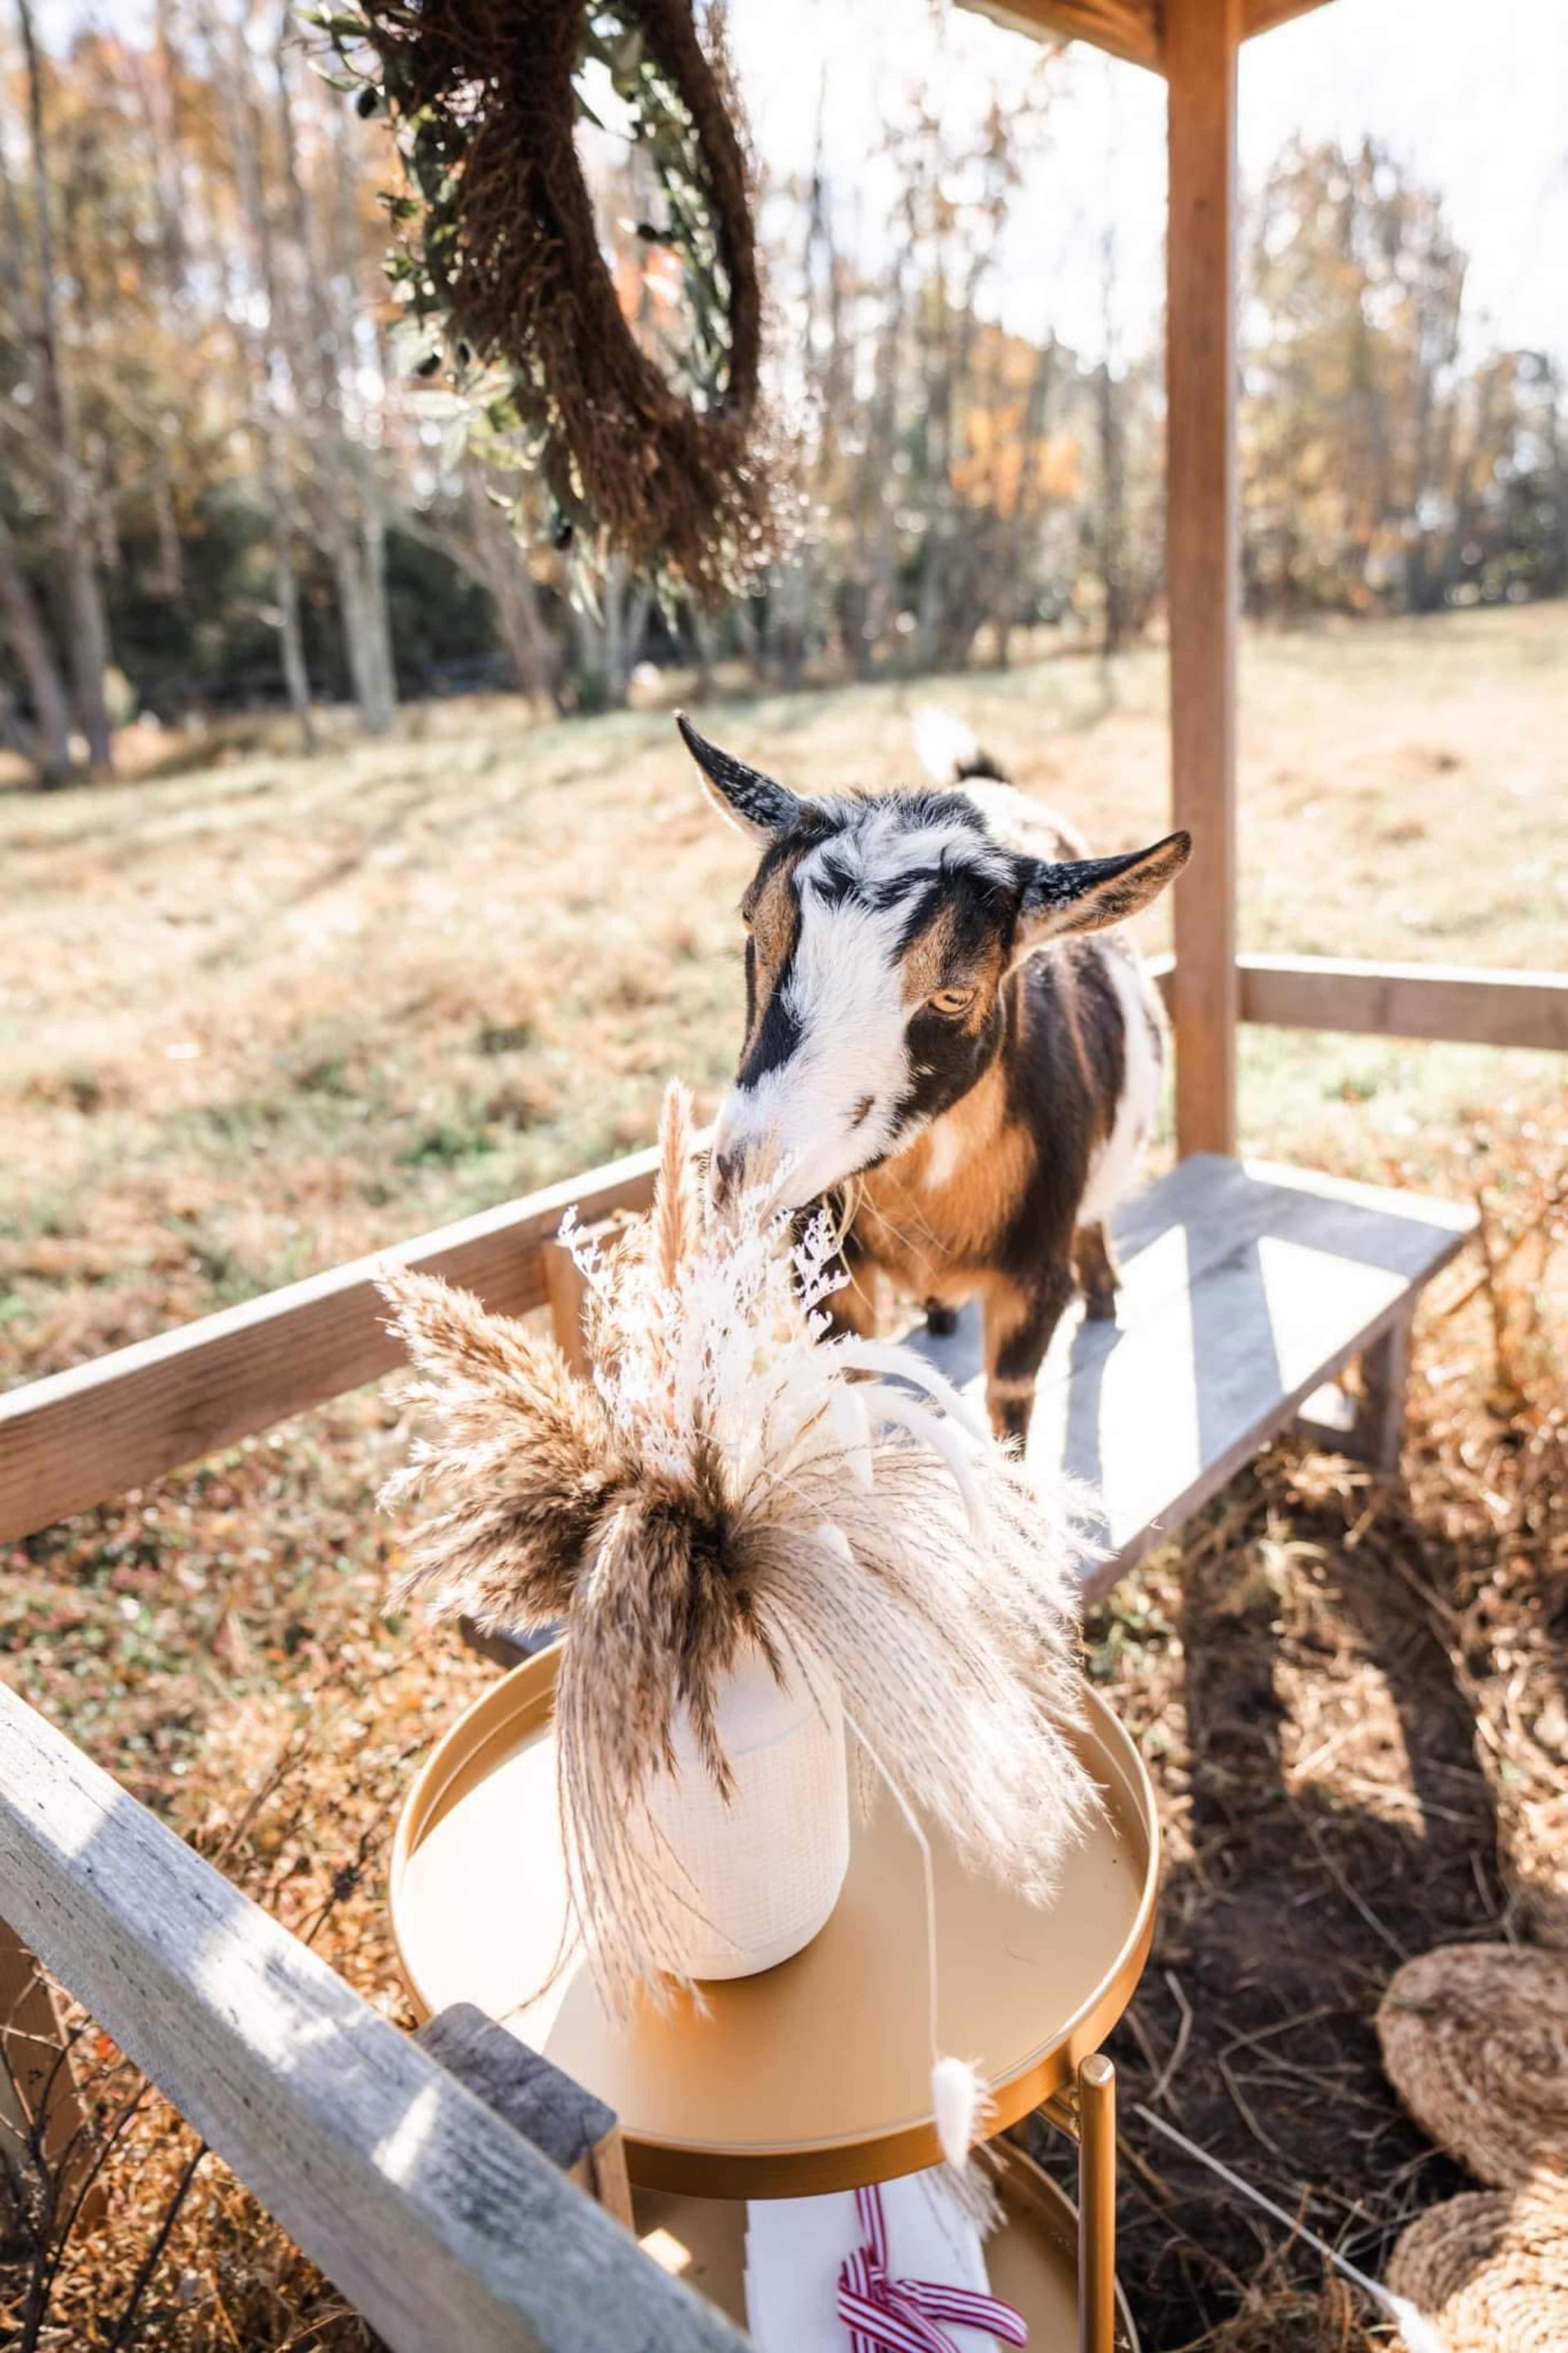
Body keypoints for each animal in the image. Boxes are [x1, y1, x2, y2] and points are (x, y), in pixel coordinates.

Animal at [677, 708, 1190, 1444]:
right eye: (756, 931)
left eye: (955, 995)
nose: (747, 1174)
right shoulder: (828, 1271)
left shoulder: (1033, 1281)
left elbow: (1010, 1412)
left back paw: (1101, 1297)